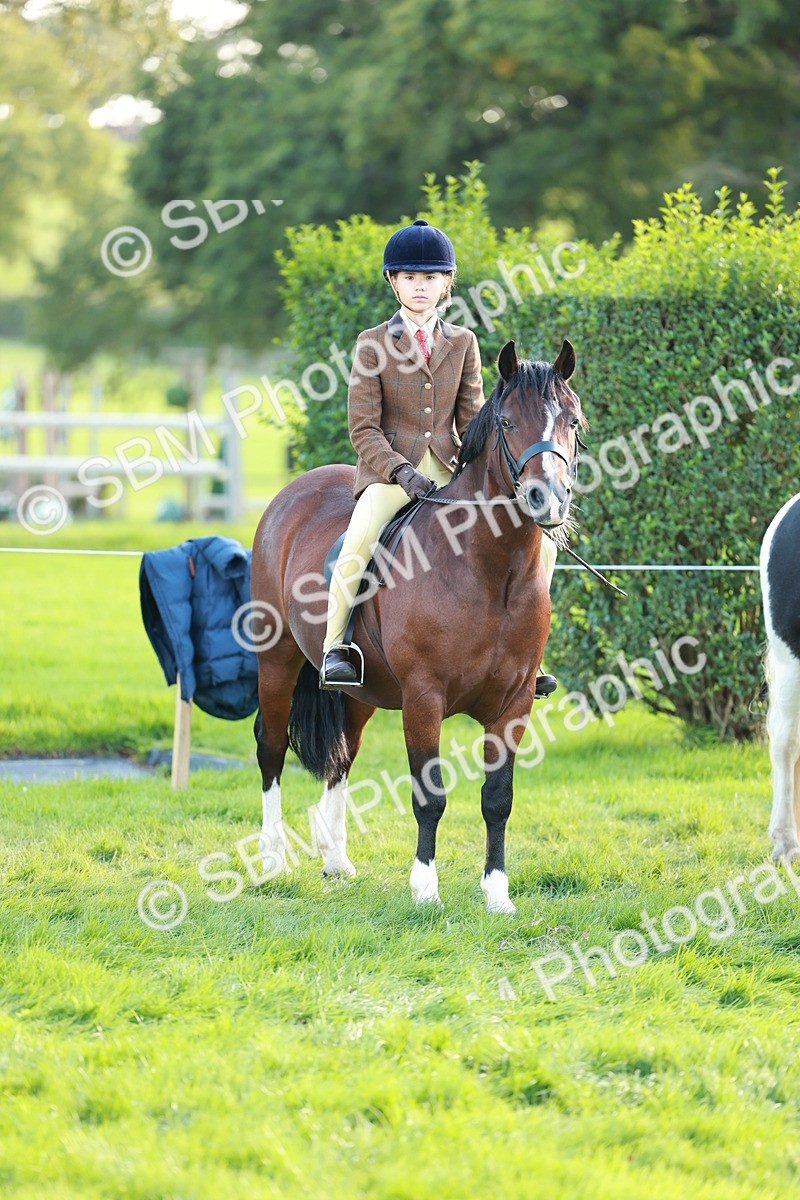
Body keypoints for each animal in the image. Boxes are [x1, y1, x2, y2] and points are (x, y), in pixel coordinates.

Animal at [249, 338, 585, 911]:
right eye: (507, 422)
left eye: (572, 420)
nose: (549, 499)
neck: (489, 569)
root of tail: (291, 493)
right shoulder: (424, 698)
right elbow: (430, 796)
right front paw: (425, 889)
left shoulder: (514, 703)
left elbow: (498, 799)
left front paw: (498, 894)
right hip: (276, 662)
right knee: (271, 748)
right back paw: (272, 861)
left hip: (359, 689)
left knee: (343, 754)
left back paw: (336, 860)